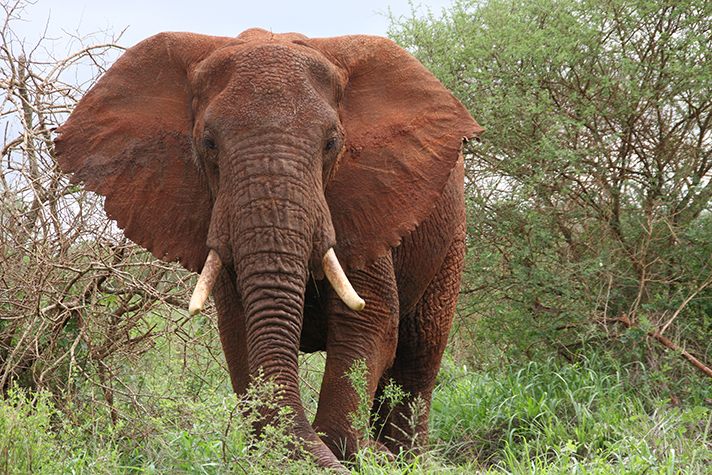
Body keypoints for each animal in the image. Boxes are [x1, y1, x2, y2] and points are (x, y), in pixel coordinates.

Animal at [54, 28, 483, 470]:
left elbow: (369, 323)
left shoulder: (364, 204)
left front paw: (359, 455)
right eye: (209, 143)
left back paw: (406, 457)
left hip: (451, 236)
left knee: (418, 359)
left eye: (332, 144)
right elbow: (239, 331)